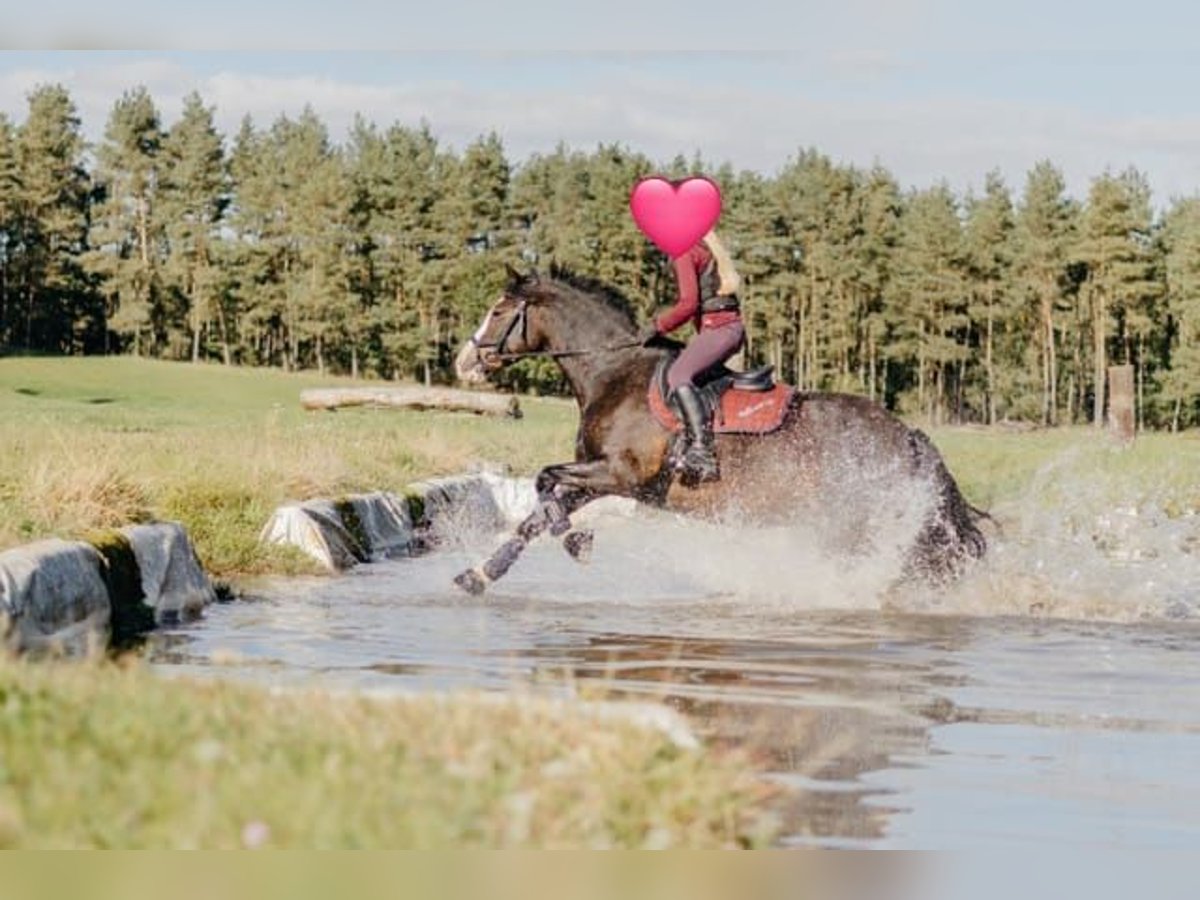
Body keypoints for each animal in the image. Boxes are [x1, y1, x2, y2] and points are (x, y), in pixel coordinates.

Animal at [451, 264, 984, 595]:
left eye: (498, 312)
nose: (464, 362)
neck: (612, 370)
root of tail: (907, 434)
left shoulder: (620, 473)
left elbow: (544, 484)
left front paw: (575, 542)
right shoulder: (602, 477)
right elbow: (535, 516)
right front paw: (479, 574)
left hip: (851, 520)